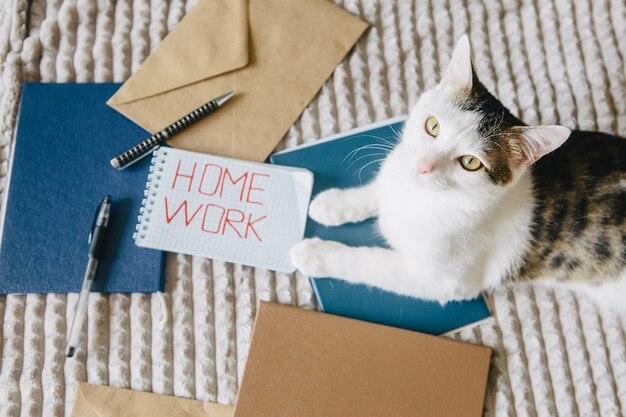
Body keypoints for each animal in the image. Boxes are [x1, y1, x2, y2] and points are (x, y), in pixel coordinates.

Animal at [288, 35, 624, 314]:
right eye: (432, 126)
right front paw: (334, 204)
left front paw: (316, 254)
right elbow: (380, 188)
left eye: (471, 162)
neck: (424, 198)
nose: (424, 165)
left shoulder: (446, 280)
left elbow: (372, 263)